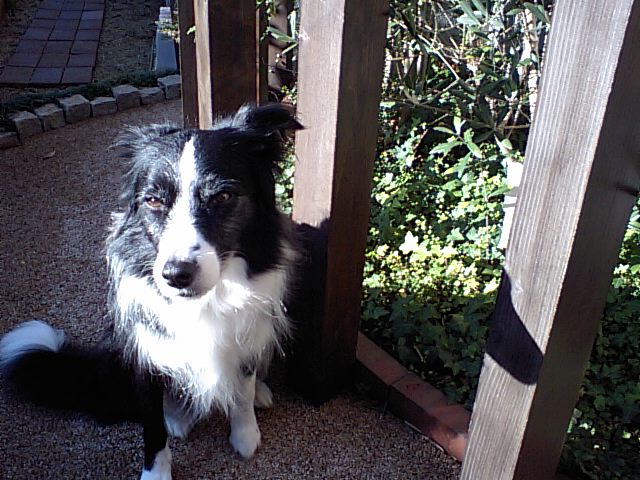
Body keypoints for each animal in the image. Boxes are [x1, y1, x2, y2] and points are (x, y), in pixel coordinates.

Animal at [0, 104, 303, 480]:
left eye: (223, 196)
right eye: (154, 201)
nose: (176, 275)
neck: (205, 302)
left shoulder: (247, 333)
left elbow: (243, 389)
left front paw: (245, 435)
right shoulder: (147, 352)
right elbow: (152, 425)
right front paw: (156, 472)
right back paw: (178, 416)